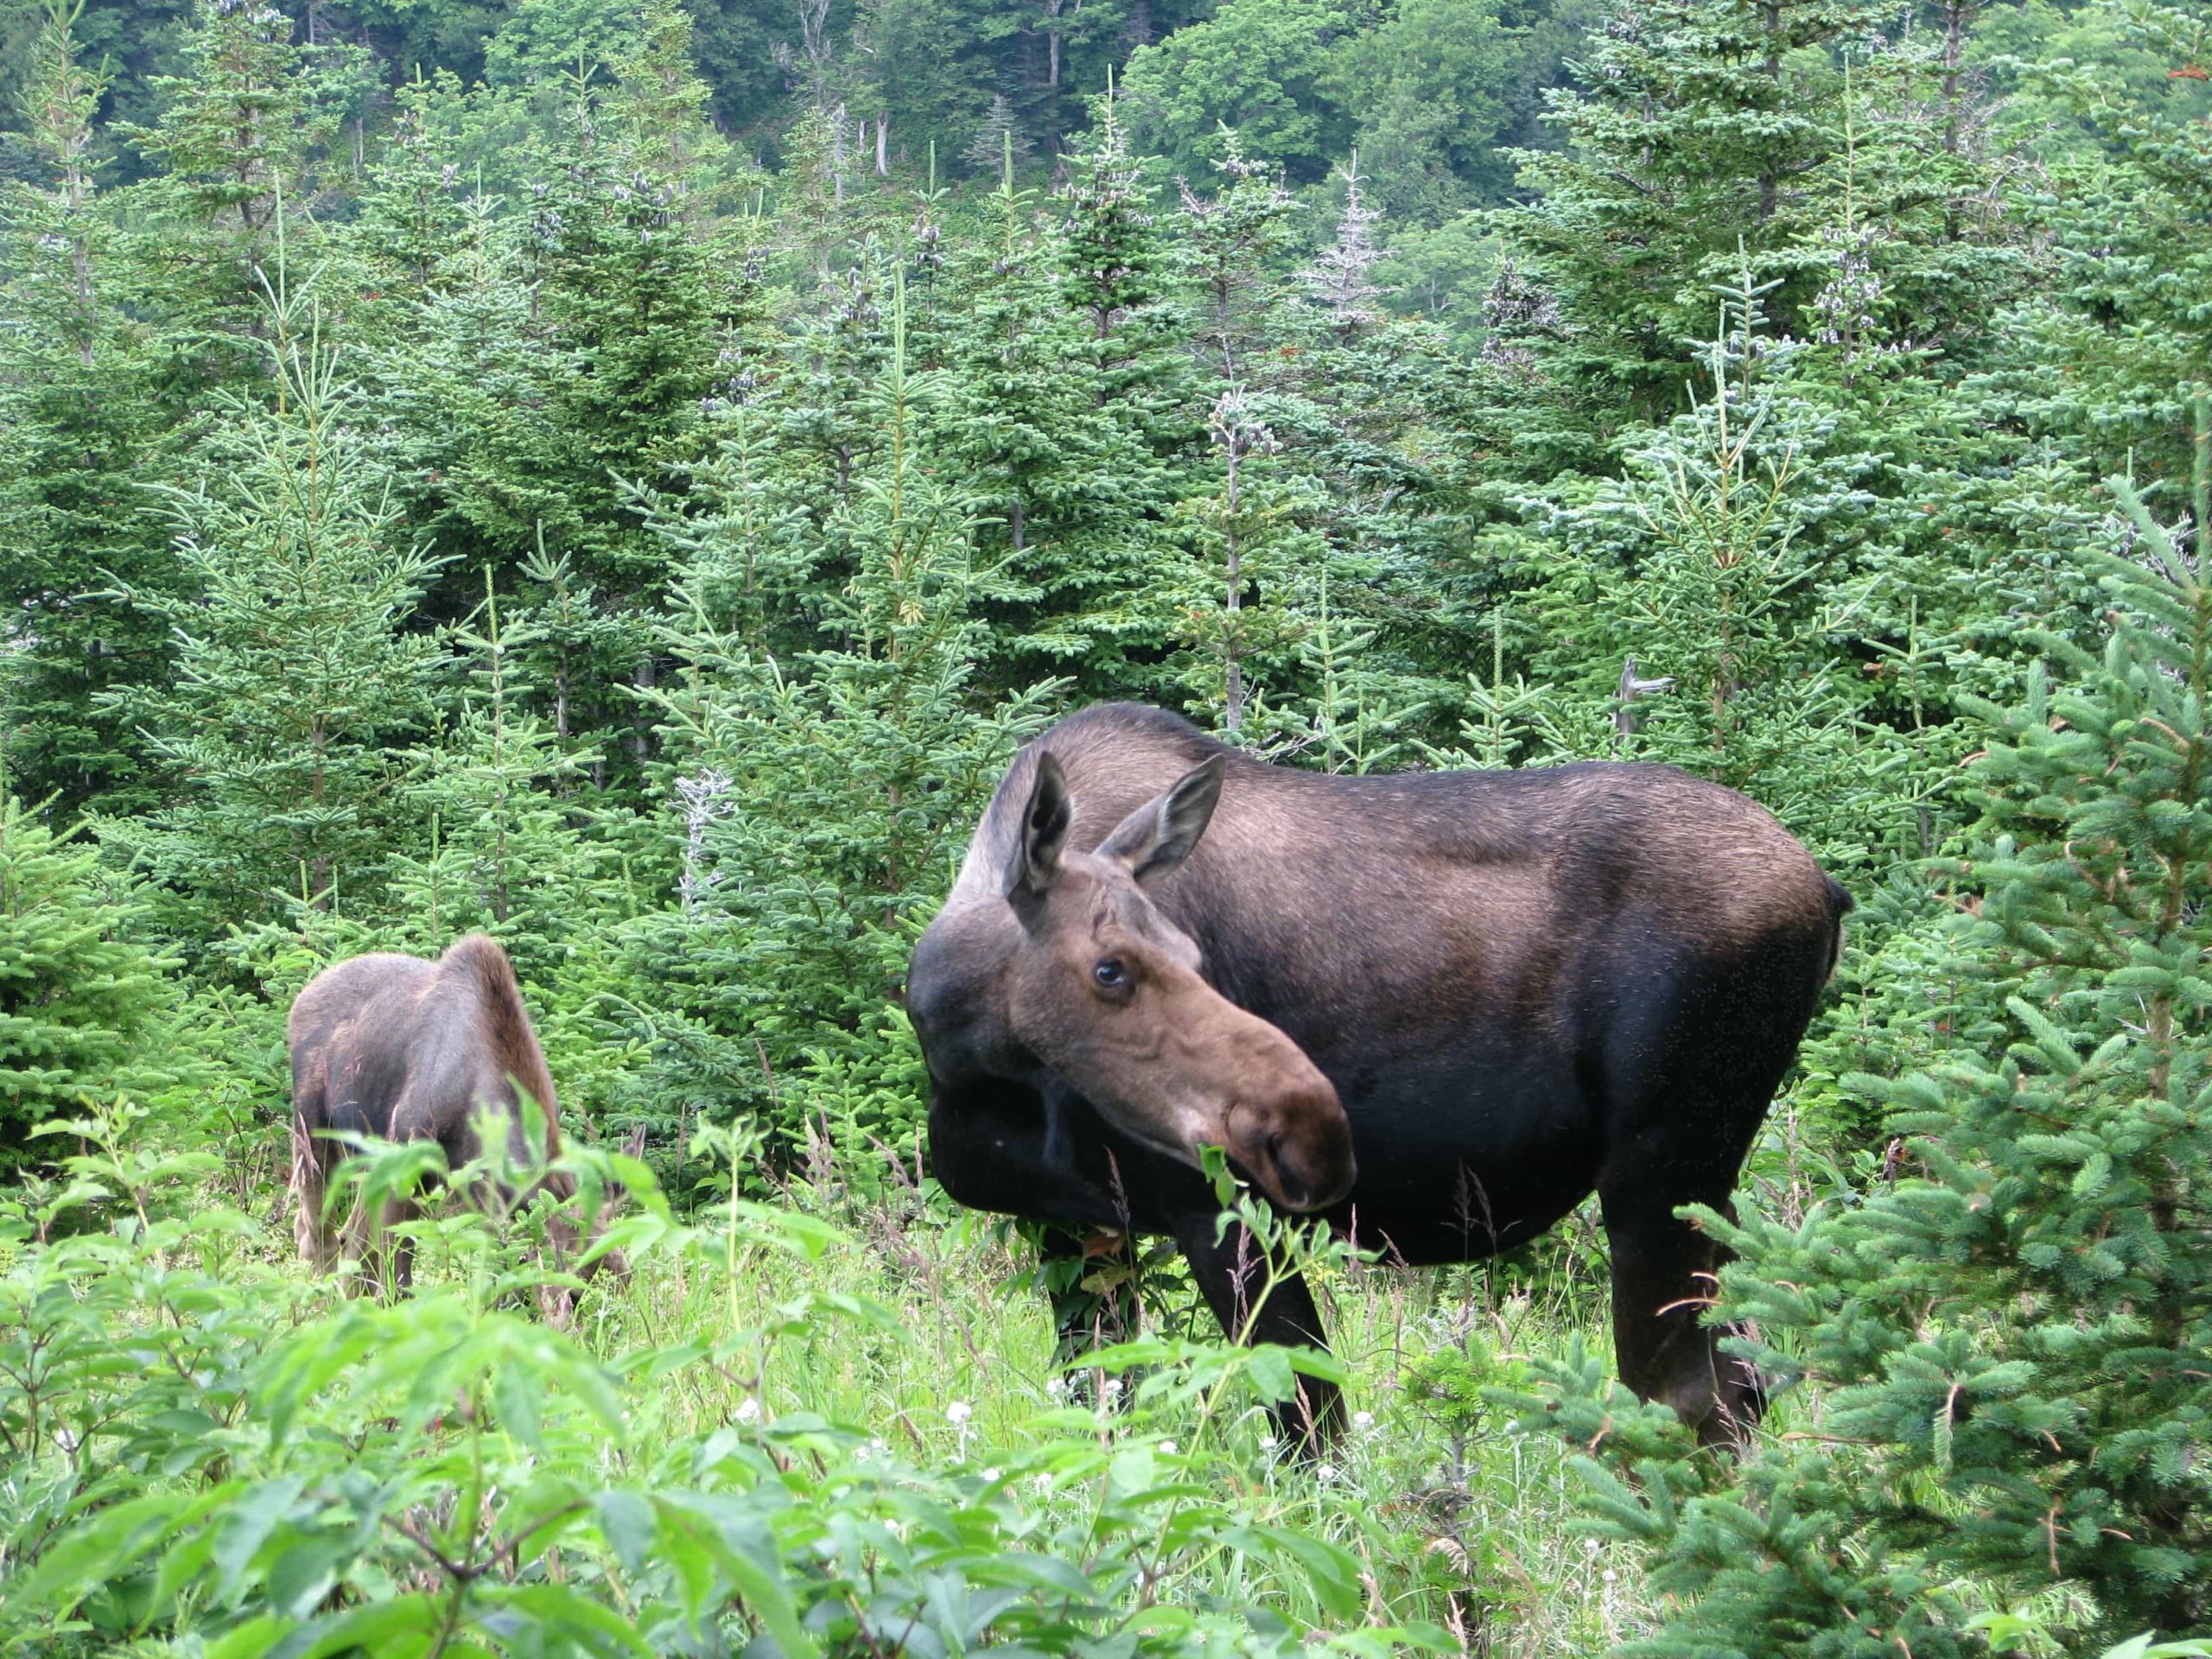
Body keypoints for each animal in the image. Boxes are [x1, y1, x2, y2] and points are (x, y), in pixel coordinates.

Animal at [289, 942, 637, 1318]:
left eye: (620, 1276)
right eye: (568, 1289)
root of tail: (300, 999)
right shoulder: (407, 1162)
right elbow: (398, 1269)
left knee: (351, 1237)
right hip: (312, 1131)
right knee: (316, 1232)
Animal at [898, 708, 1849, 1451]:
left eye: (1194, 955)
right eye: (1110, 969)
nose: (1309, 1130)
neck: (966, 1057)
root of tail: (1828, 892)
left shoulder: (1219, 1212)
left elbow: (1311, 1429)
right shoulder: (1074, 1225)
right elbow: (1098, 1407)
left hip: (1662, 1169)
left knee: (1689, 1396)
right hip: (1704, 1186)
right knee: (1747, 1384)